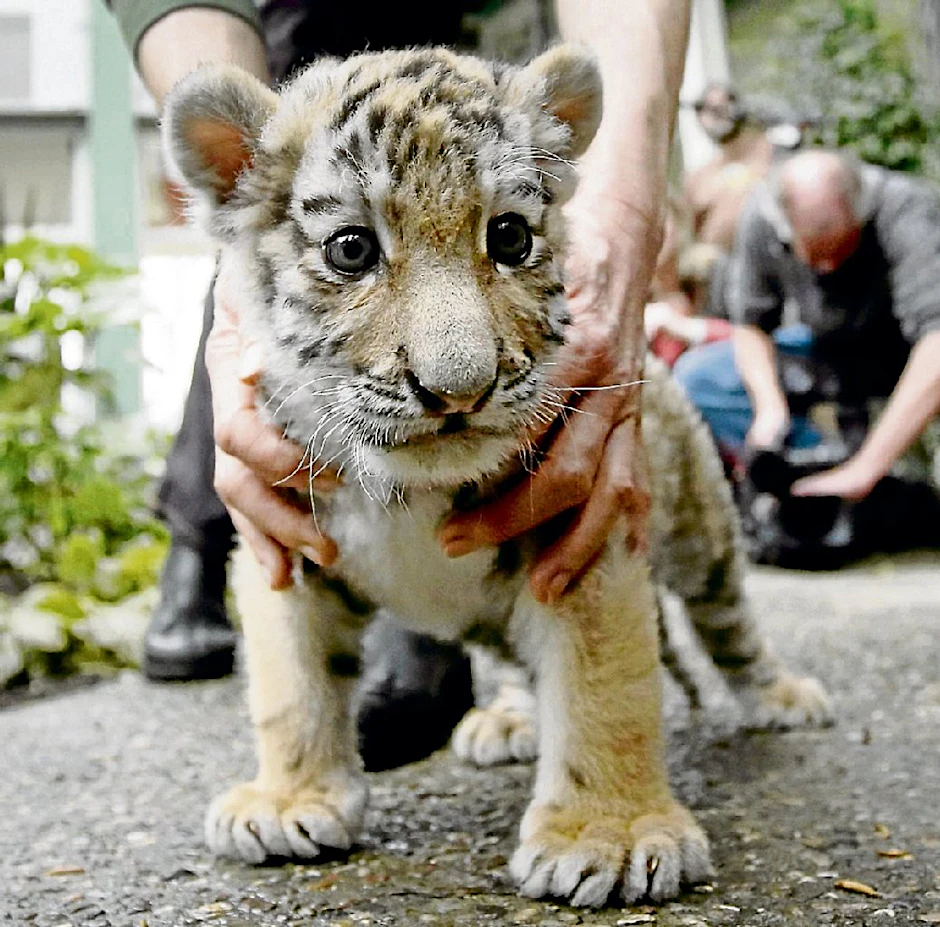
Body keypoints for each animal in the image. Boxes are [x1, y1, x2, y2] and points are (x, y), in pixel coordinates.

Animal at [163, 44, 830, 908]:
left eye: (509, 237)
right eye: (352, 249)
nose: (459, 389)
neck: (406, 493)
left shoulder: (585, 533)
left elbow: (605, 686)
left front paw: (611, 834)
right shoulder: (283, 542)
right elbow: (290, 683)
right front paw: (287, 799)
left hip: (700, 532)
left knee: (729, 624)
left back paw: (780, 695)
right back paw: (510, 720)